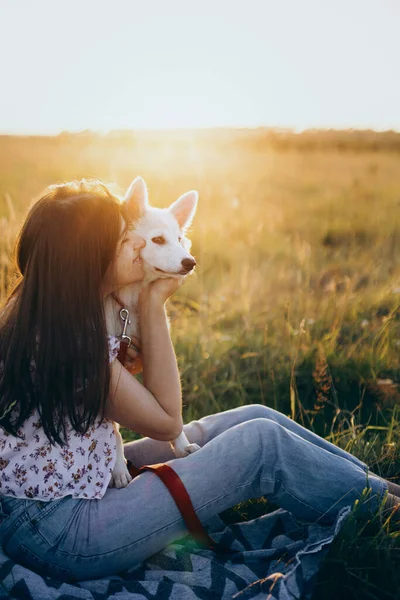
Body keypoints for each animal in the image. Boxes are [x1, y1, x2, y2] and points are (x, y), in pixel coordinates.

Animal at [105, 177, 200, 488]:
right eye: (158, 240)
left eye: (180, 239)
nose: (190, 262)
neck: (129, 301)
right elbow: (113, 429)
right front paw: (117, 469)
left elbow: (171, 413)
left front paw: (181, 444)